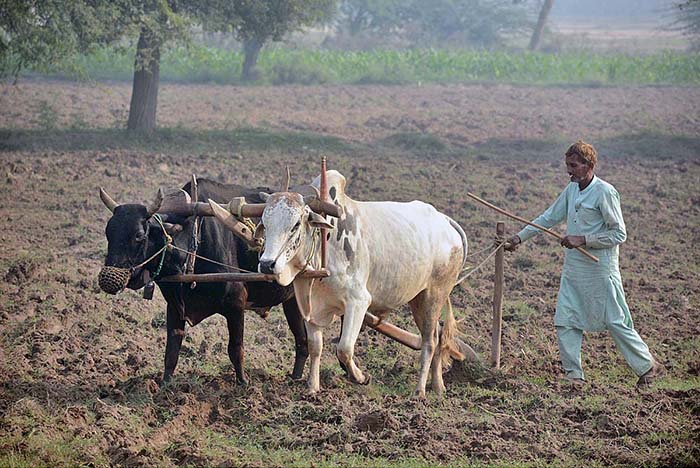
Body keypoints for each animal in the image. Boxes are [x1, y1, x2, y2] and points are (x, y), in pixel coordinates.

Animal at [227, 172, 468, 398]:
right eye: (265, 224)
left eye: (295, 224)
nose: (267, 264)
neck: (325, 245)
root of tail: (445, 221)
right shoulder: (310, 308)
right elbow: (315, 347)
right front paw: (312, 387)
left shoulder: (358, 302)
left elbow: (344, 348)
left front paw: (360, 377)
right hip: (418, 299)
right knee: (437, 336)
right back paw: (438, 386)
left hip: (434, 295)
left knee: (429, 342)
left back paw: (419, 392)